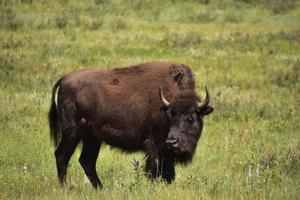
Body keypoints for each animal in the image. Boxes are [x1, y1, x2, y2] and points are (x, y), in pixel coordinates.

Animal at [48, 61, 213, 188]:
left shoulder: (166, 152)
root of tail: (64, 79)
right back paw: (66, 188)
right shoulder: (155, 145)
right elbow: (155, 169)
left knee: (87, 161)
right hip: (72, 132)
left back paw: (100, 188)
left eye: (191, 117)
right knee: (62, 156)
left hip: (92, 138)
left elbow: (168, 174)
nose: (173, 141)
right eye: (170, 116)